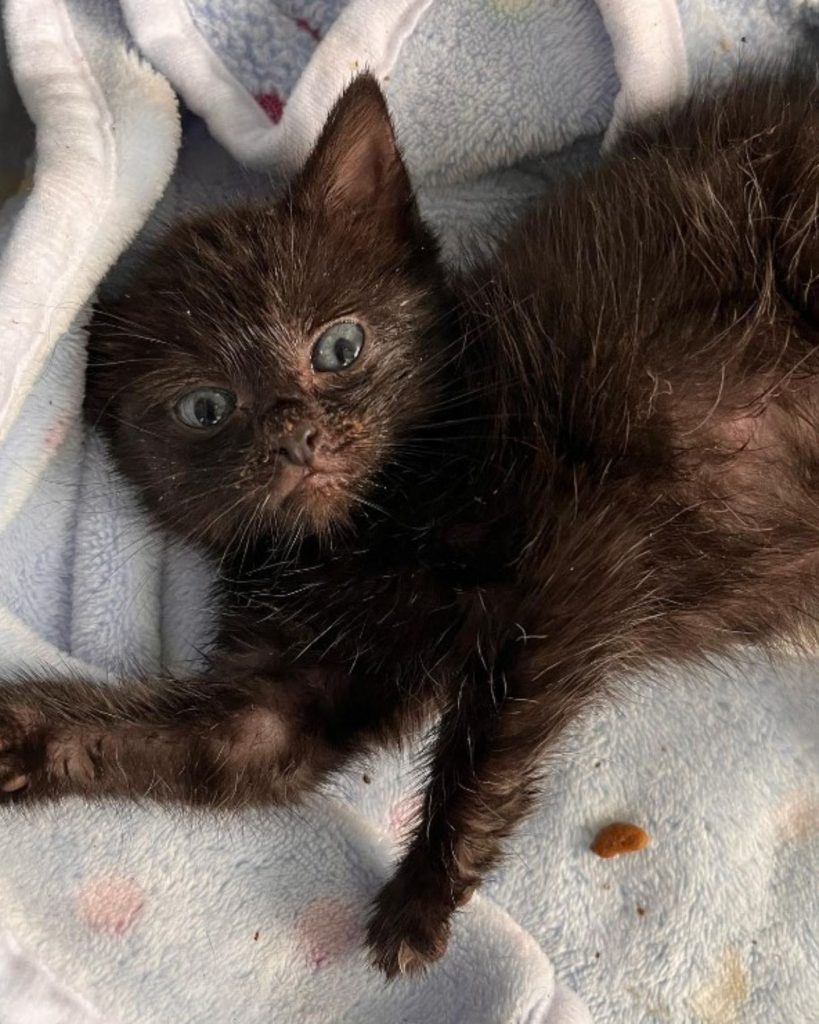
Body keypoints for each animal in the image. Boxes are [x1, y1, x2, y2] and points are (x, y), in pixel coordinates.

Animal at [1, 68, 818, 978]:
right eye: (205, 408)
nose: (294, 436)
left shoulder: (576, 552)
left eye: (339, 348)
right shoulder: (289, 697)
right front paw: (19, 734)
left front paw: (426, 889)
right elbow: (214, 746)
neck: (372, 531)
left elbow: (489, 731)